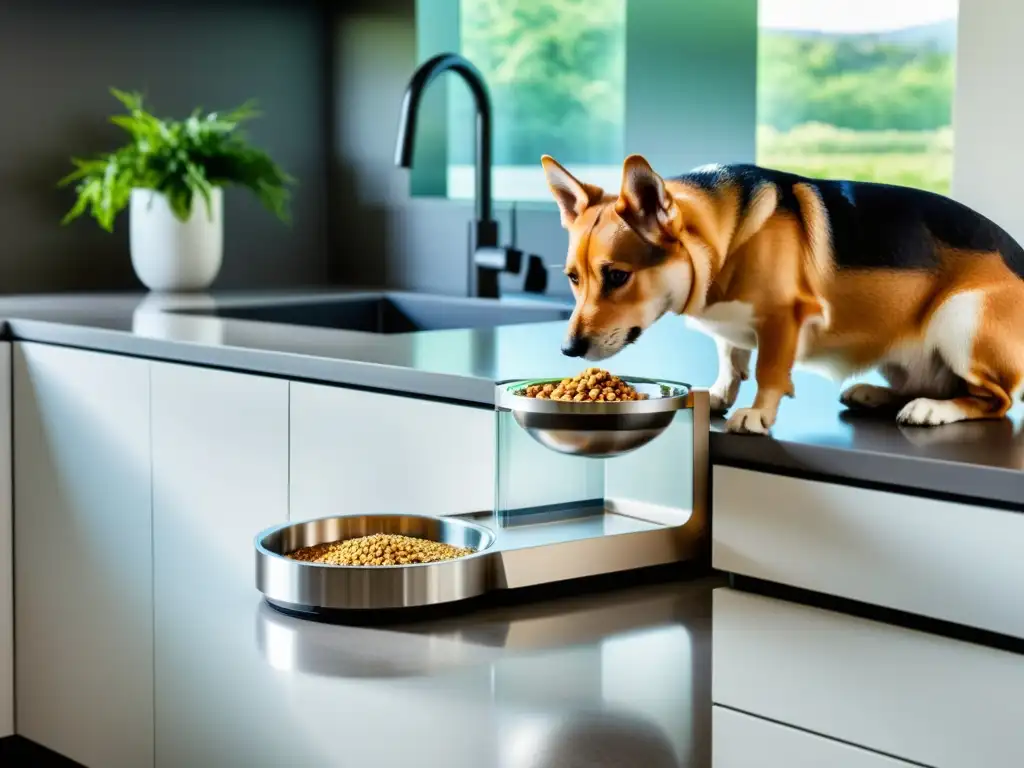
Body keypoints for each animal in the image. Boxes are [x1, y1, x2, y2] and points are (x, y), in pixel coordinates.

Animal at [540, 153, 1019, 436]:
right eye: (574, 279)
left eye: (618, 276)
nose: (568, 350)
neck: (725, 239)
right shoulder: (730, 330)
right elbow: (731, 359)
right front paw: (719, 395)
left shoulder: (782, 319)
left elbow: (768, 371)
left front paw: (756, 415)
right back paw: (874, 395)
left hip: (959, 316)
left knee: (995, 401)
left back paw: (932, 410)